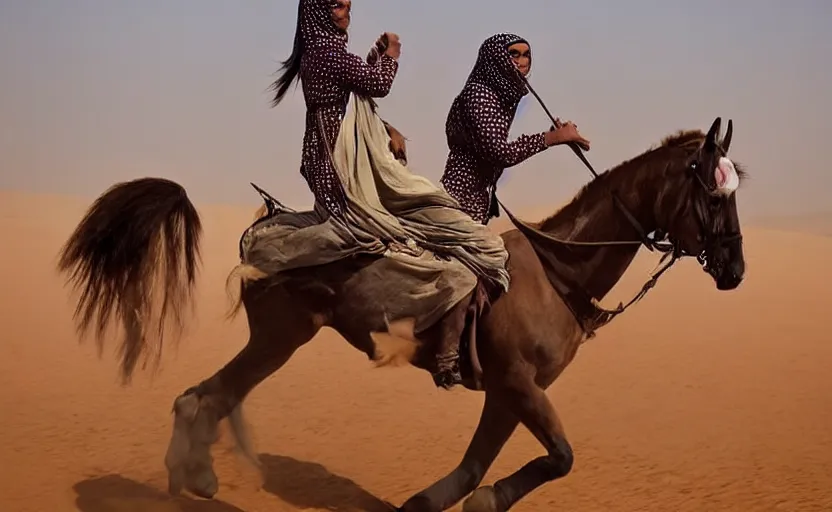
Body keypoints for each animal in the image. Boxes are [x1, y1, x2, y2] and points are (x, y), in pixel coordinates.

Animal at [58, 117, 748, 512]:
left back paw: (191, 477)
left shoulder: (508, 391)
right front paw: (483, 500)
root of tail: (264, 221)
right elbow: (559, 457)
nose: (735, 270)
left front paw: (437, 502)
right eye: (713, 195)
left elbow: (475, 469)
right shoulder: (519, 385)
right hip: (281, 336)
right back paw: (194, 477)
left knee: (204, 397)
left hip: (280, 338)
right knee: (205, 397)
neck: (559, 273)